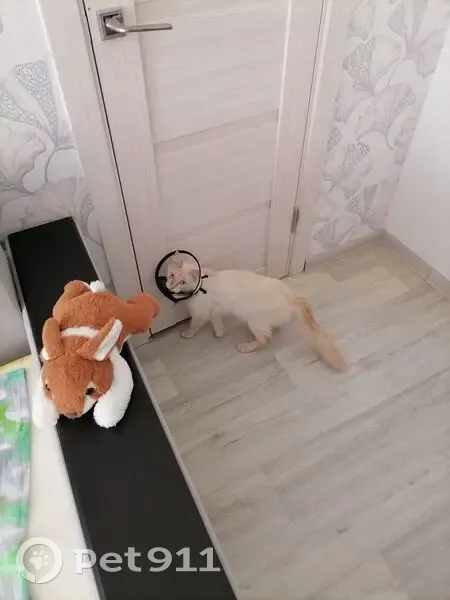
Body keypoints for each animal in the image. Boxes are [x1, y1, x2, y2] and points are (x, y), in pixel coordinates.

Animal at [166, 252, 347, 371]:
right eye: (171, 275)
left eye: (182, 282)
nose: (171, 286)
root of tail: (292, 296)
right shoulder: (213, 310)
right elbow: (217, 322)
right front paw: (219, 333)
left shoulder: (200, 313)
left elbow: (194, 326)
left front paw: (187, 334)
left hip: (254, 321)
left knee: (264, 339)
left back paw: (246, 346)